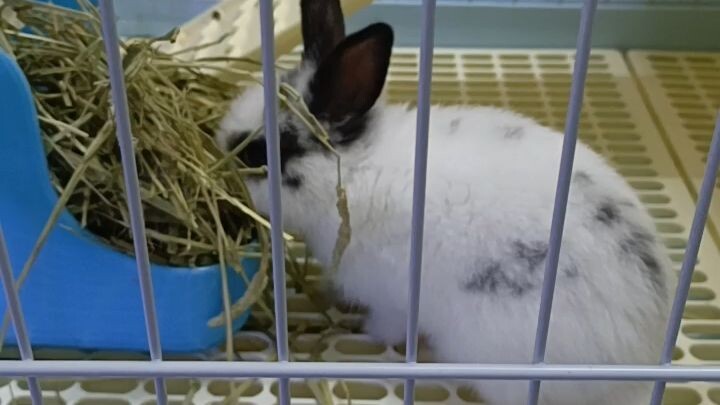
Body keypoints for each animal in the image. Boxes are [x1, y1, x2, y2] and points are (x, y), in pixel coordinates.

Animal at [214, 1, 675, 403]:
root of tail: (636, 368)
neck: (354, 170)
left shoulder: (391, 297)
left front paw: (366, 333)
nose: (218, 166)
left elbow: (387, 324)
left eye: (257, 152)